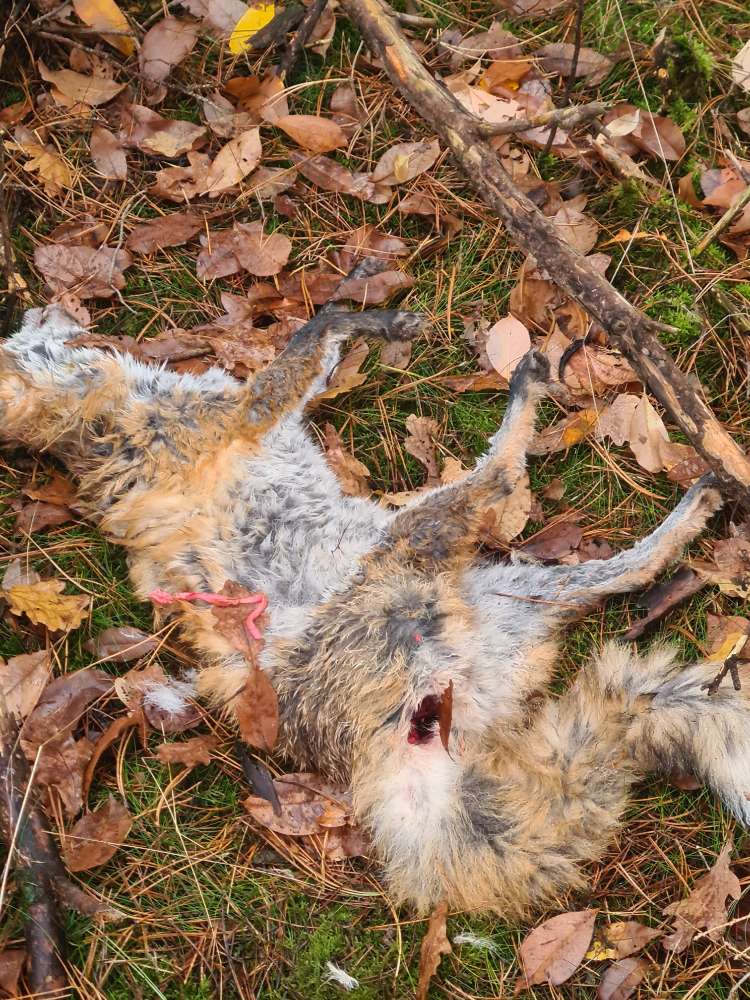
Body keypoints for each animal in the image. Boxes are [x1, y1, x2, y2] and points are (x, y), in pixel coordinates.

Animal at [2, 299, 747, 918]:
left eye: (26, 332)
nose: (52, 314)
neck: (97, 415)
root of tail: (373, 754)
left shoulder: (255, 410)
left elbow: (318, 349)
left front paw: (366, 319)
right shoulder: (248, 411)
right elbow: (314, 332)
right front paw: (370, 314)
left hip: (515, 594)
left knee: (628, 569)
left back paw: (697, 501)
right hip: (422, 540)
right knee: (500, 475)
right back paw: (542, 397)